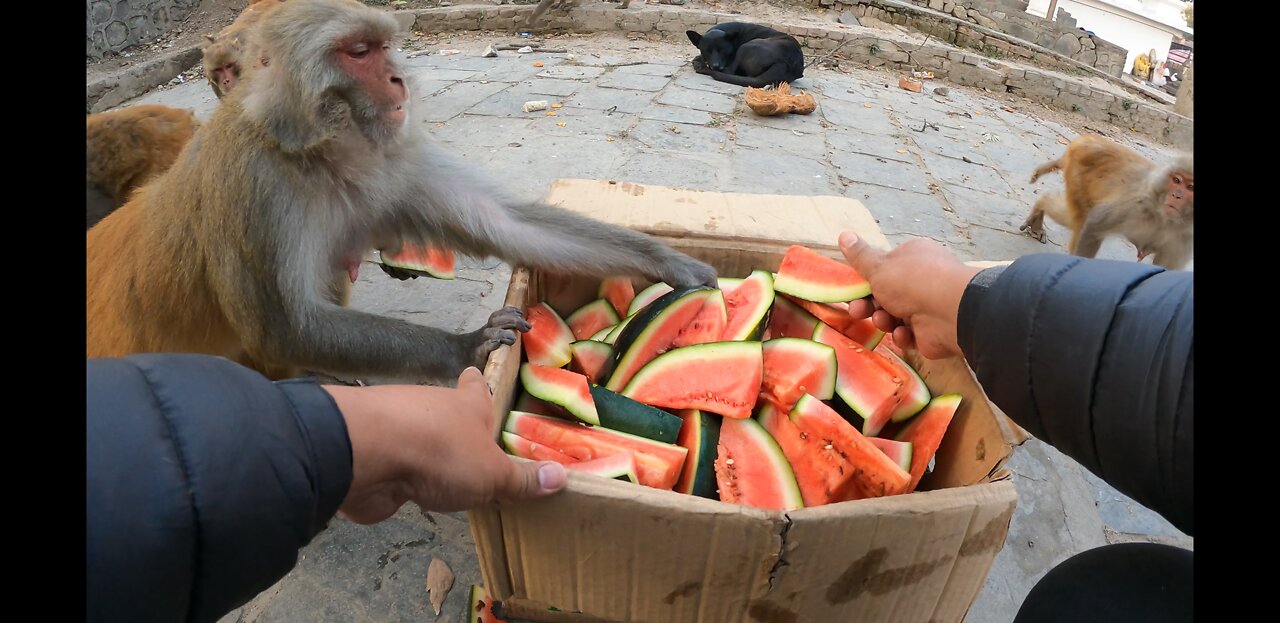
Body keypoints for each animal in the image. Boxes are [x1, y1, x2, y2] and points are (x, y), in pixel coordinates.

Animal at [85, 0, 716, 386]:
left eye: (384, 47)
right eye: (358, 52)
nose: (397, 79)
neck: (320, 153)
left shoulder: (394, 156)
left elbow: (505, 224)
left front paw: (670, 263)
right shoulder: (253, 184)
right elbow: (286, 327)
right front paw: (466, 349)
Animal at [1018, 136, 1187, 271]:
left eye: (1190, 186)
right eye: (1177, 181)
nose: (1177, 196)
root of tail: (1083, 141)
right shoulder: (1134, 205)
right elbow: (1094, 225)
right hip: (1078, 175)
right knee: (1080, 219)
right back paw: (1042, 206)